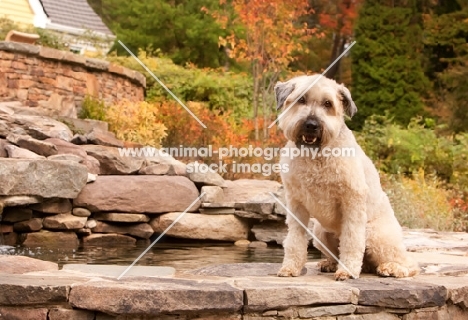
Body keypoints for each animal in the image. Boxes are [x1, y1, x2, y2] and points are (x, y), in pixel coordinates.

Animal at [272, 74, 418, 280]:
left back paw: (391, 268)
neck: (315, 155)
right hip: (320, 232)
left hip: (374, 234)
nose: (311, 125)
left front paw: (346, 271)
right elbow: (294, 240)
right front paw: (290, 268)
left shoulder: (352, 202)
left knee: (409, 264)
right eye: (301, 99)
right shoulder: (296, 204)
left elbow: (352, 240)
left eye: (328, 103)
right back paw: (330, 263)